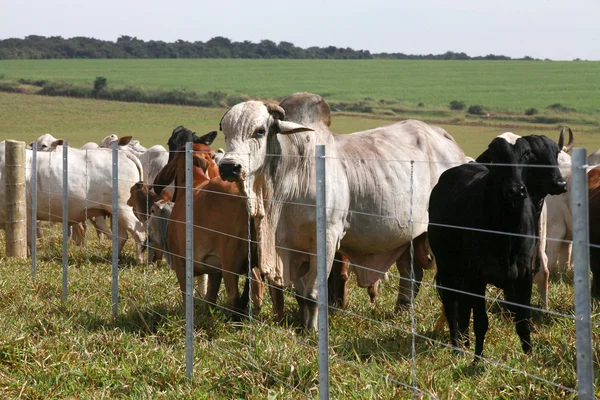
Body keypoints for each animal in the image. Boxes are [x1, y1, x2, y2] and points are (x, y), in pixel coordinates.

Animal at [428, 134, 564, 360]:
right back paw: (458, 347)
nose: (515, 190)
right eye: (496, 154)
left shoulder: (524, 275)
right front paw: (477, 360)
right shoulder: (477, 277)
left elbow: (523, 321)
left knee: (462, 305)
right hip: (447, 266)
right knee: (451, 303)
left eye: (526, 154)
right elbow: (481, 322)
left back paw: (464, 341)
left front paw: (528, 356)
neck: (506, 231)